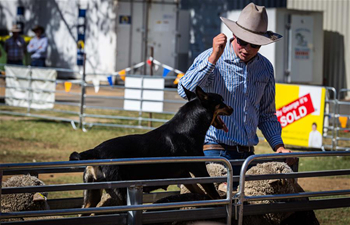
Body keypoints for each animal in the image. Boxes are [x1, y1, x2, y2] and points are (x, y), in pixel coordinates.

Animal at [68, 85, 232, 209]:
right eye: (222, 100)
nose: (232, 108)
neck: (188, 128)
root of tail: (96, 151)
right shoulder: (199, 169)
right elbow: (212, 193)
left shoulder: (184, 174)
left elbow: (200, 191)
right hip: (120, 192)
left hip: (92, 194)